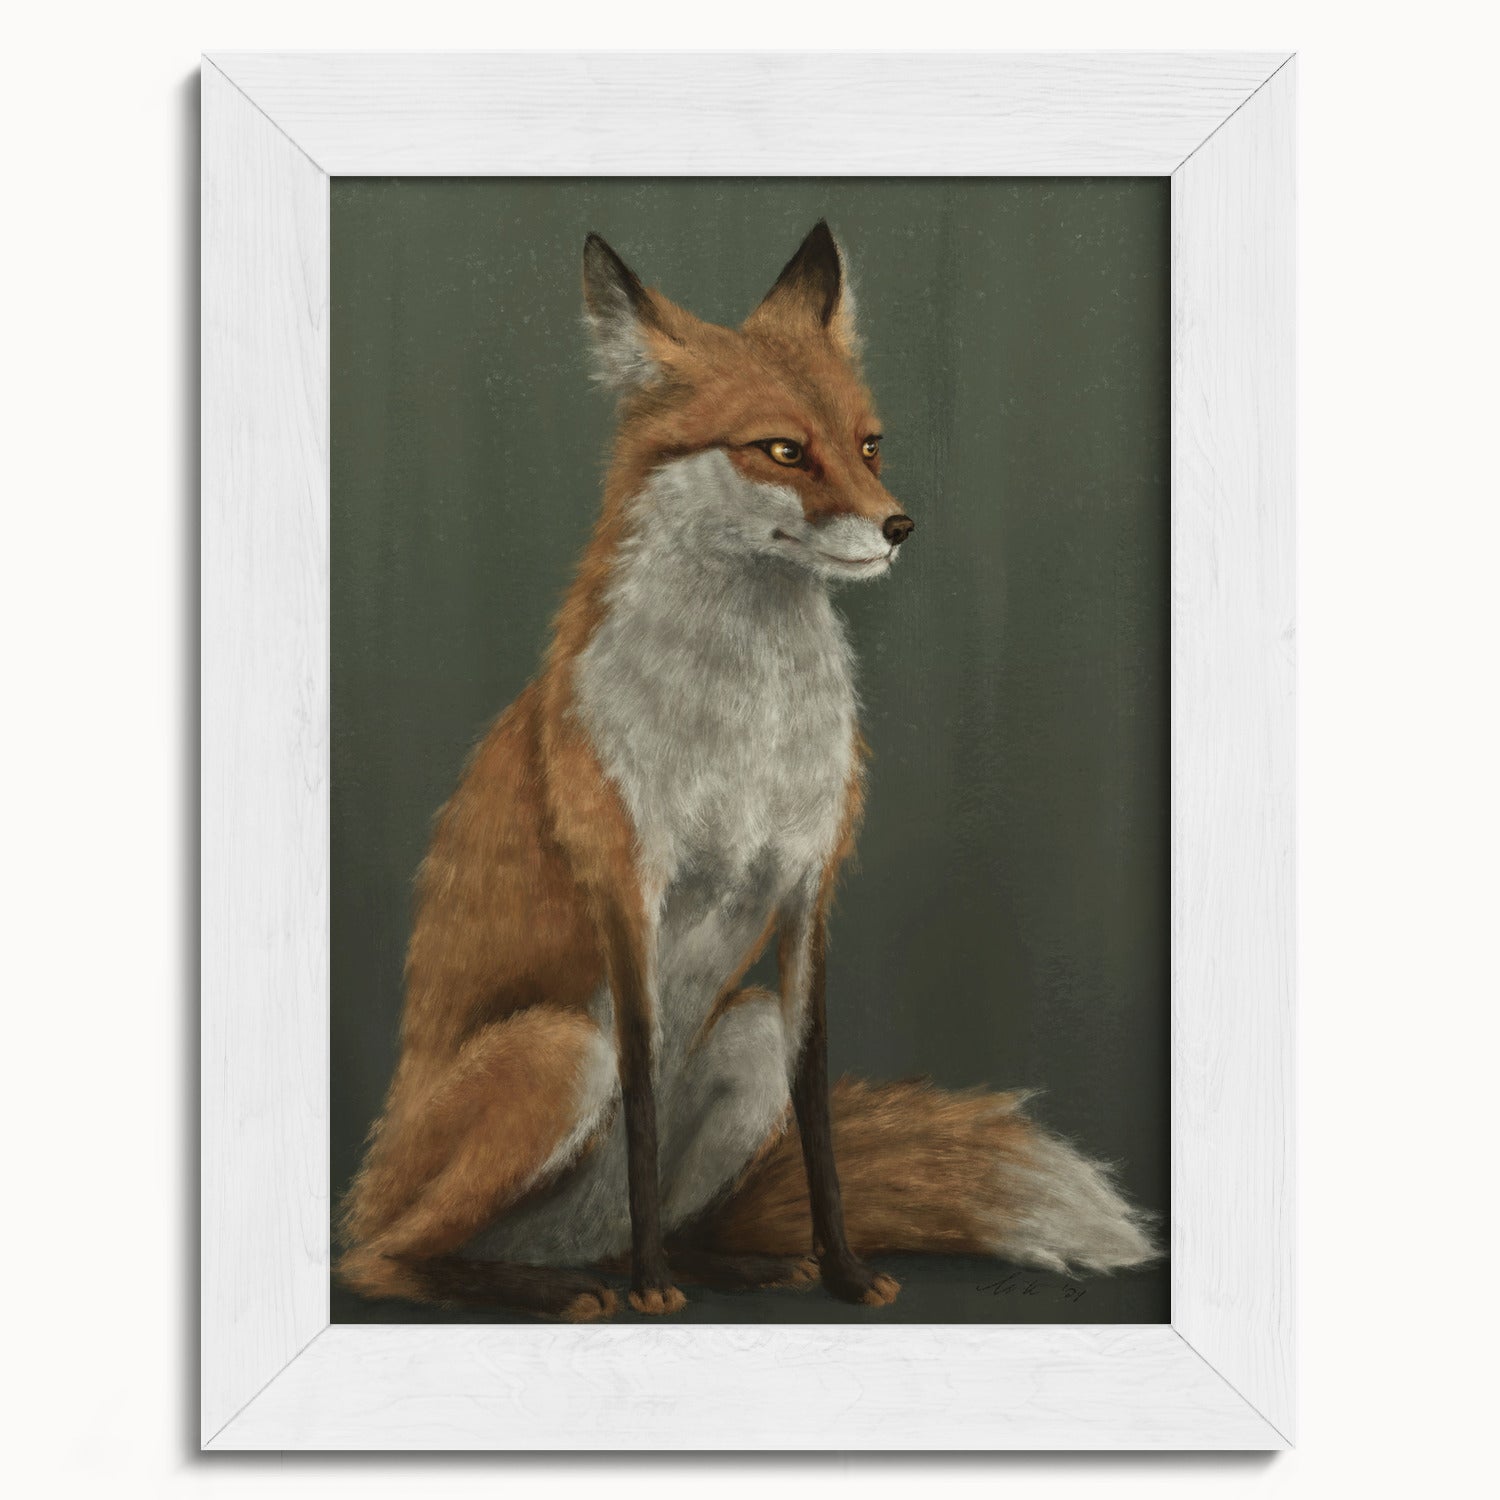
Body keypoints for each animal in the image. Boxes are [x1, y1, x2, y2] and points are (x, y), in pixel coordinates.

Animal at [336, 221, 1156, 1320]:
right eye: (782, 450)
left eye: (869, 443)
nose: (899, 526)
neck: (747, 732)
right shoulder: (628, 889)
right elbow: (642, 1099)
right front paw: (651, 1291)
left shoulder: (810, 888)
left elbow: (817, 1114)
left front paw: (844, 1271)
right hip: (559, 1051)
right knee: (383, 1260)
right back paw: (568, 1286)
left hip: (745, 1033)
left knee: (670, 1216)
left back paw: (729, 1263)